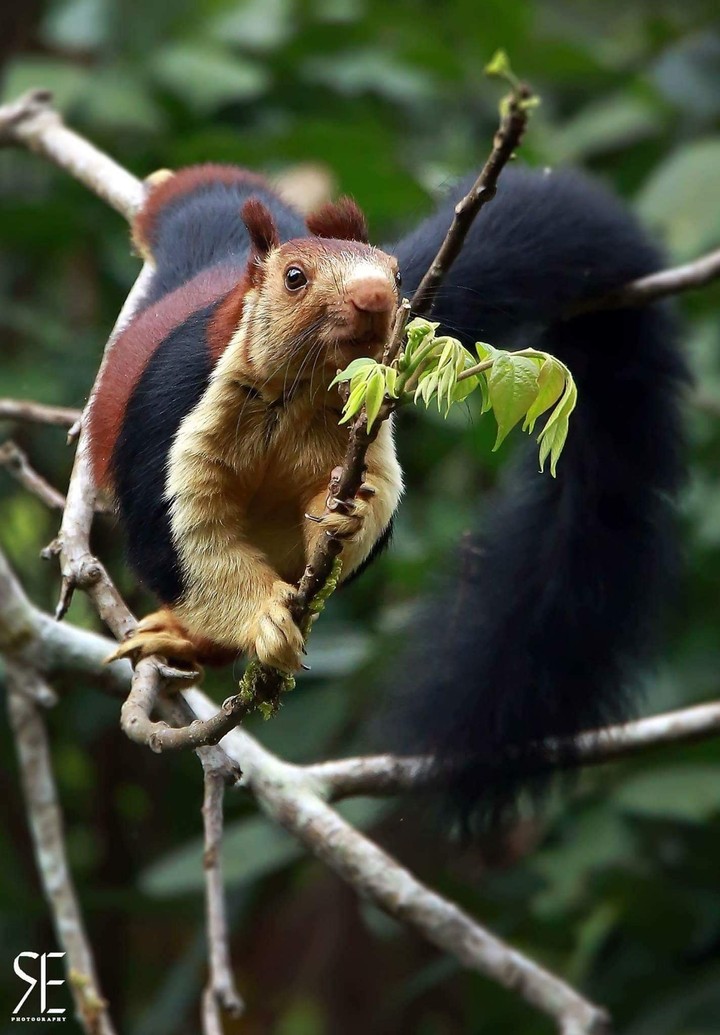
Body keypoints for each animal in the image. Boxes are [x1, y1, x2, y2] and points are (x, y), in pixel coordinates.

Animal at [87, 161, 687, 822]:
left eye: (397, 273)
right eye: (295, 279)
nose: (375, 298)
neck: (302, 393)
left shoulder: (372, 426)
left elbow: (369, 509)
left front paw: (339, 517)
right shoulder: (174, 420)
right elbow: (191, 540)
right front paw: (265, 619)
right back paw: (185, 635)